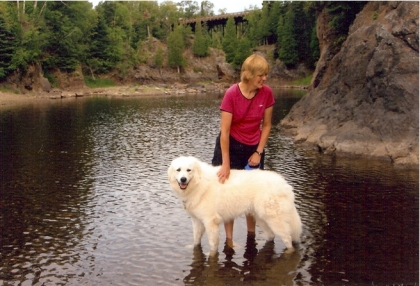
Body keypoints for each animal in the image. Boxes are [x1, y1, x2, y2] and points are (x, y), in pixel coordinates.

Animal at [167, 156, 302, 255]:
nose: (183, 179)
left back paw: (289, 252)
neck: (198, 183)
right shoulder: (197, 220)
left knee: (288, 239)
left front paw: (211, 255)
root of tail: (285, 184)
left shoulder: (210, 222)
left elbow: (213, 244)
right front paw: (193, 248)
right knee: (271, 236)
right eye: (178, 170)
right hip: (261, 217)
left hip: (274, 219)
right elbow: (196, 240)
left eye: (189, 170)